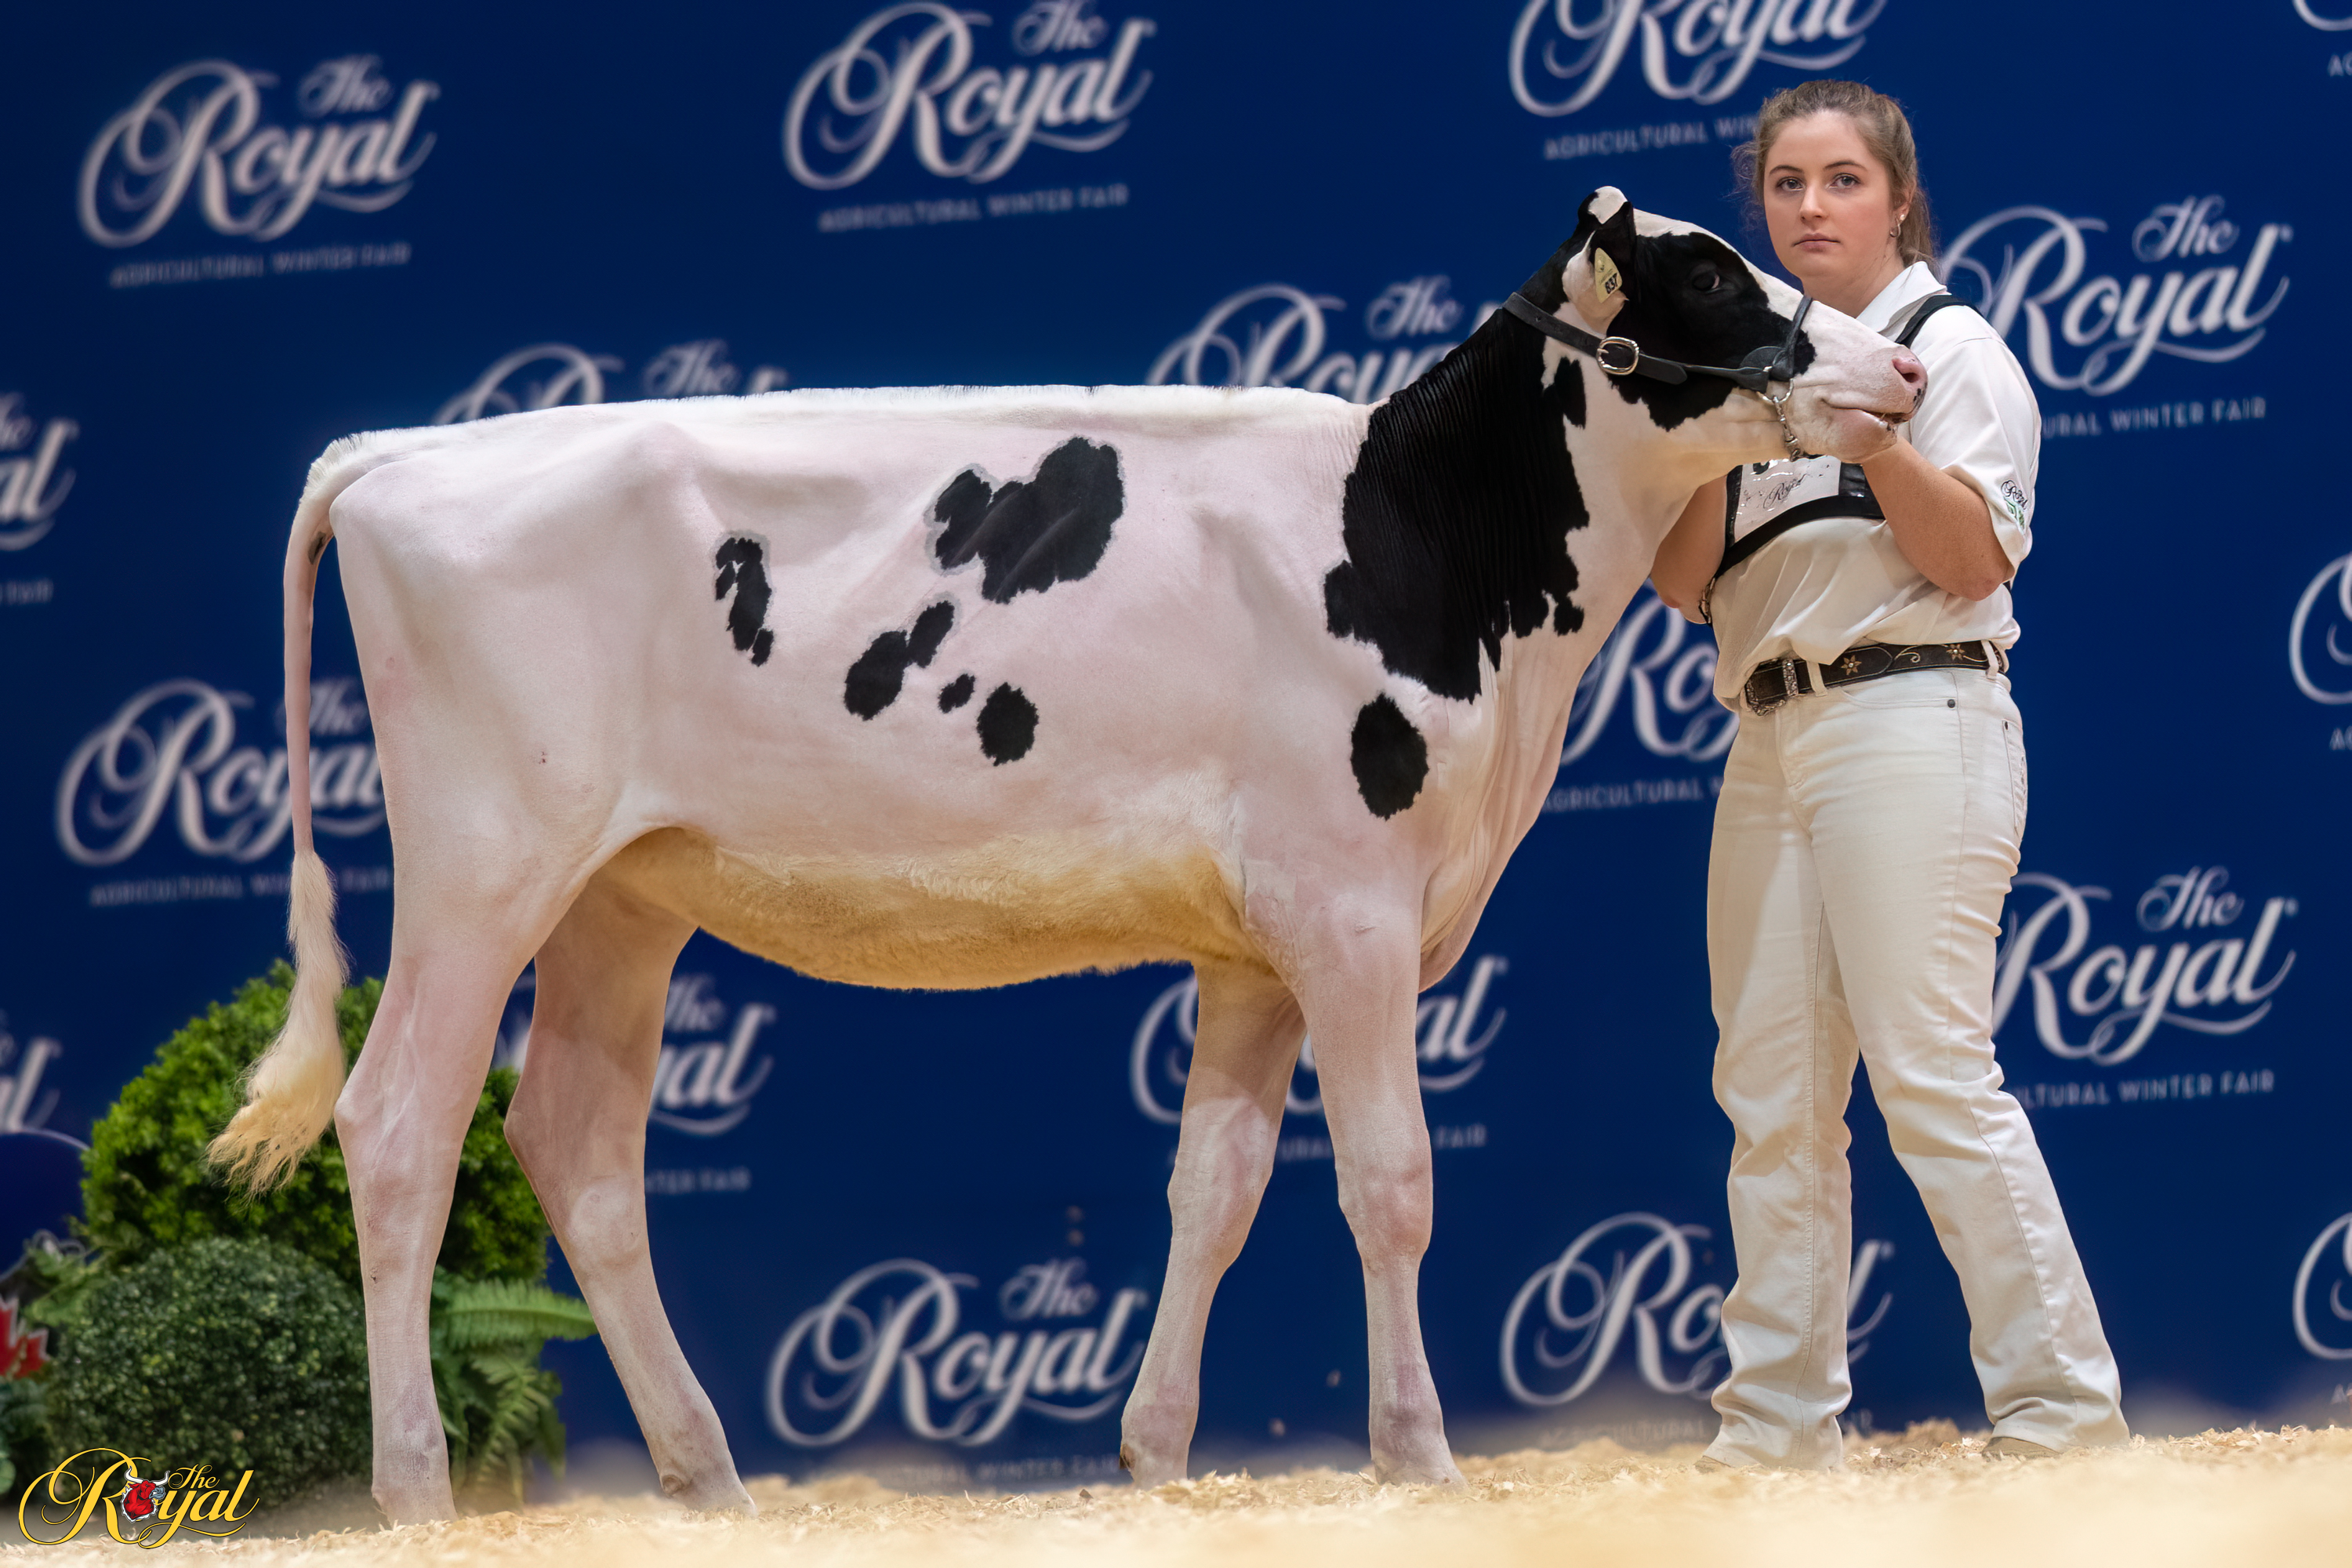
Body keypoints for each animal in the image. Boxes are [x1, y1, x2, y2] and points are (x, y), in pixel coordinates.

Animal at [209, 188, 1923, 1522]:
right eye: (1717, 276)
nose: (1900, 366)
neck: (1434, 544)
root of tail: (395, 456)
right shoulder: (1352, 910)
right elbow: (1390, 1182)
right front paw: (1419, 1455)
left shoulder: (1254, 944)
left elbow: (1215, 1189)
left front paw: (1156, 1455)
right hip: (480, 867)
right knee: (398, 1126)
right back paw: (417, 1491)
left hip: (622, 894)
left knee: (572, 1141)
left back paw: (709, 1477)